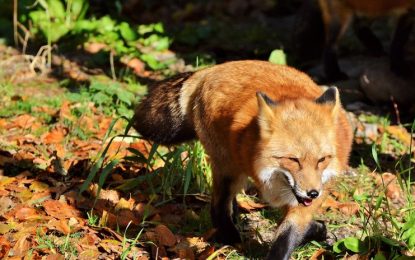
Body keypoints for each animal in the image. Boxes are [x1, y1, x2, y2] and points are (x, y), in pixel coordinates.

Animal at [133, 60, 354, 258]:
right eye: (293, 160)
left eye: (322, 160)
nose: (313, 193)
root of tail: (212, 69)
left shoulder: (305, 199)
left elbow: (289, 233)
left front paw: (315, 229)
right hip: (228, 168)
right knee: (217, 207)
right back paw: (231, 237)